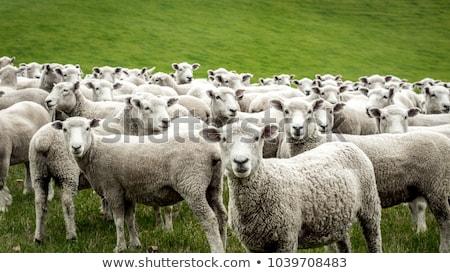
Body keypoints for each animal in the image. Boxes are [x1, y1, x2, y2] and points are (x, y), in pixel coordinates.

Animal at [53, 116, 229, 252]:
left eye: (88, 128)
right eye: (64, 130)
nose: (76, 147)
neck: (95, 151)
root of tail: (213, 152)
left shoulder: (113, 189)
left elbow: (118, 220)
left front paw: (120, 247)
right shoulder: (128, 191)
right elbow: (130, 219)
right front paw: (135, 245)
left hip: (192, 184)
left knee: (209, 219)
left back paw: (217, 250)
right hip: (214, 185)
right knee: (221, 215)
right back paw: (224, 246)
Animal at [201, 122, 384, 252]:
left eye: (257, 138)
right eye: (223, 139)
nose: (241, 161)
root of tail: (344, 144)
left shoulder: (286, 239)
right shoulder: (252, 246)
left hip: (370, 206)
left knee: (374, 239)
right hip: (340, 218)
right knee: (344, 244)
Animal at [270, 96, 450, 252]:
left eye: (309, 111)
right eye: (286, 111)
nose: (297, 129)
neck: (314, 142)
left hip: (437, 187)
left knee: (444, 220)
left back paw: (443, 248)